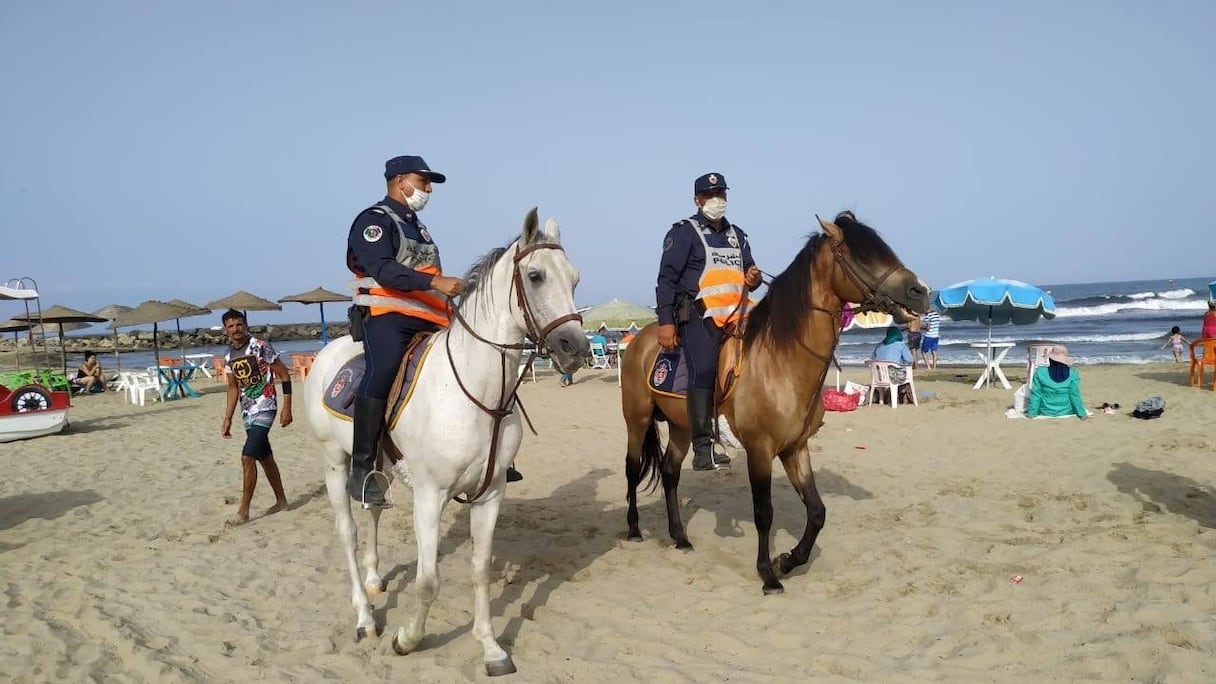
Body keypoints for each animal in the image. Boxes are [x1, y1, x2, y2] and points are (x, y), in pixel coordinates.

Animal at [304, 206, 588, 671]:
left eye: (575, 278)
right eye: (535, 276)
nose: (575, 348)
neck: (475, 391)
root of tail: (329, 354)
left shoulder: (491, 494)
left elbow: (480, 569)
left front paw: (491, 648)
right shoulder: (429, 496)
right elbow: (427, 581)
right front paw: (407, 639)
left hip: (377, 467)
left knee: (372, 509)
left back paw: (375, 579)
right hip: (333, 462)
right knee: (347, 530)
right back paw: (365, 616)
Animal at [622, 211, 924, 591]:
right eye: (862, 256)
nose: (921, 292)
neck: (782, 359)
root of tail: (641, 340)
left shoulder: (795, 447)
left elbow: (817, 511)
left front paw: (788, 560)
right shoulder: (760, 450)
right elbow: (764, 513)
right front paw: (768, 573)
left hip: (681, 427)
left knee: (670, 472)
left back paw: (680, 536)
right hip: (637, 420)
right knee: (633, 469)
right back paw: (634, 529)